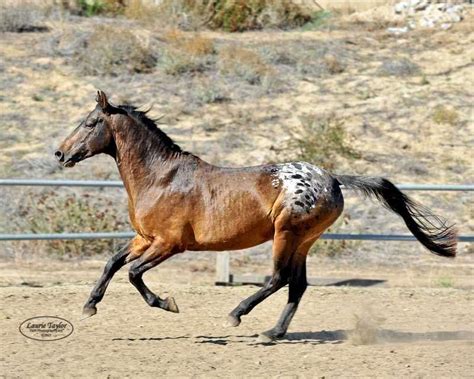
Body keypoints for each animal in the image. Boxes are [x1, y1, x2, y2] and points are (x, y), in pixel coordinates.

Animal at [53, 90, 458, 342]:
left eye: (90, 123)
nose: (59, 153)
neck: (161, 178)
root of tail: (332, 178)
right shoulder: (145, 238)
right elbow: (112, 262)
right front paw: (89, 306)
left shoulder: (169, 244)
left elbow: (134, 274)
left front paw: (167, 303)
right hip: (304, 240)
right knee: (297, 285)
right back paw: (273, 333)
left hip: (286, 234)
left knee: (278, 278)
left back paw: (237, 314)